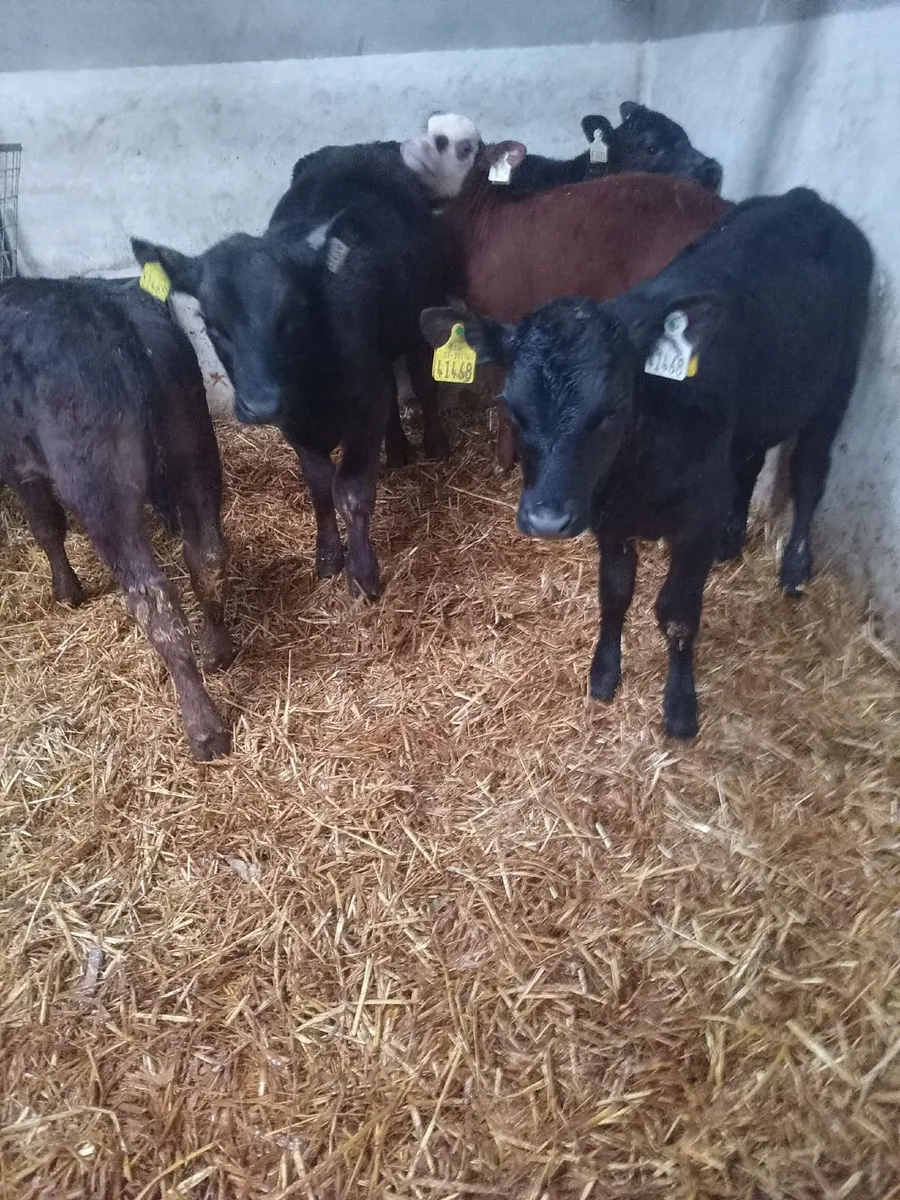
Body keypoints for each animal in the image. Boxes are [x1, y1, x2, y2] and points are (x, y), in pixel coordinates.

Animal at [0, 277, 235, 760]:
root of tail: (110, 313)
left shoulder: (19, 465)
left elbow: (46, 525)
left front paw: (66, 591)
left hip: (101, 487)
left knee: (154, 599)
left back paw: (204, 730)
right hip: (194, 447)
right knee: (206, 556)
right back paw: (217, 651)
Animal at [132, 133, 455, 603]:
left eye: (292, 314)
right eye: (213, 324)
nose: (261, 404)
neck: (311, 385)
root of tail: (361, 147)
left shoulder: (364, 402)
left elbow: (351, 490)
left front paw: (363, 573)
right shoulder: (298, 423)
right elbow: (319, 486)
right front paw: (328, 556)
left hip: (421, 313)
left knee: (422, 382)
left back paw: (434, 443)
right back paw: (396, 452)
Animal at [422, 187, 873, 739]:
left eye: (612, 408)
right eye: (511, 405)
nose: (547, 519)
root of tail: (809, 200)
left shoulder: (695, 519)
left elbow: (677, 612)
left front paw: (680, 705)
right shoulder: (609, 519)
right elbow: (615, 593)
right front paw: (604, 673)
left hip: (838, 383)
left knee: (810, 474)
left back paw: (793, 569)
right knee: (749, 461)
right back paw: (732, 541)